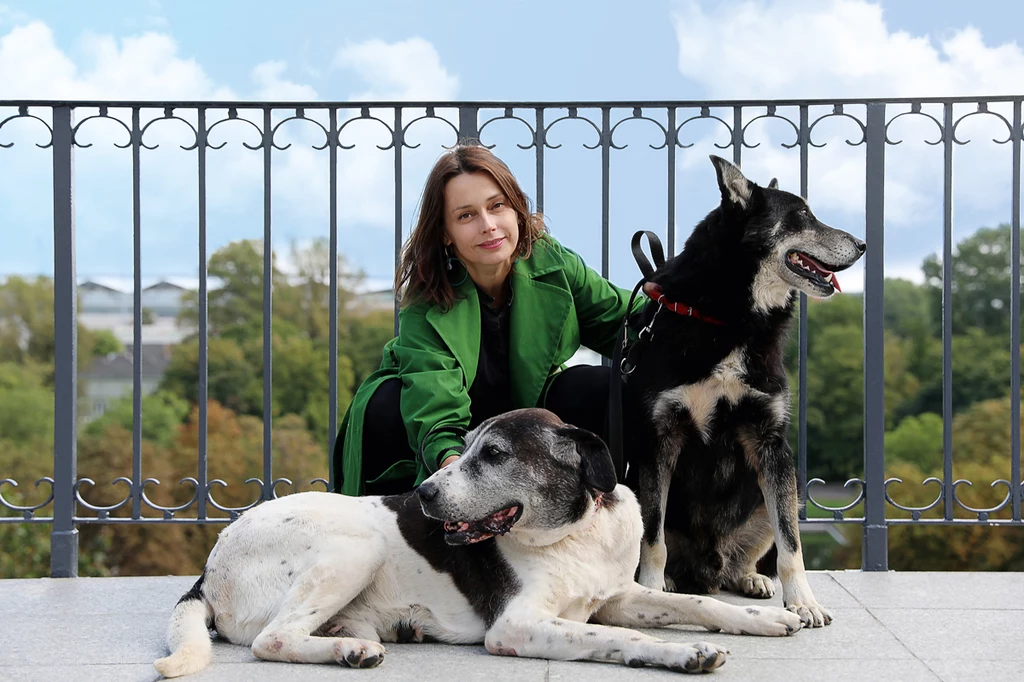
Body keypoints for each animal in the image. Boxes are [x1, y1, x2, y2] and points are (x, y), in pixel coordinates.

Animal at [155, 403, 802, 675]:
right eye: (463, 449)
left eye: (492, 454)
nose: (422, 493)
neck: (575, 533)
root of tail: (208, 571)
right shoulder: (517, 625)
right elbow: (615, 638)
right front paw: (683, 654)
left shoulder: (617, 595)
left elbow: (696, 602)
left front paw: (769, 618)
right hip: (354, 545)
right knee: (272, 639)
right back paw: (347, 651)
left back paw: (360, 639)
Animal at [622, 155, 864, 626]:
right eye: (802, 214)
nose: (862, 244)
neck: (731, 320)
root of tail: (708, 567)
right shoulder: (660, 439)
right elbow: (653, 537)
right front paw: (651, 590)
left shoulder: (771, 443)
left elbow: (792, 544)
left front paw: (803, 601)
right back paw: (672, 582)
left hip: (783, 496)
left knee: (748, 555)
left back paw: (751, 578)